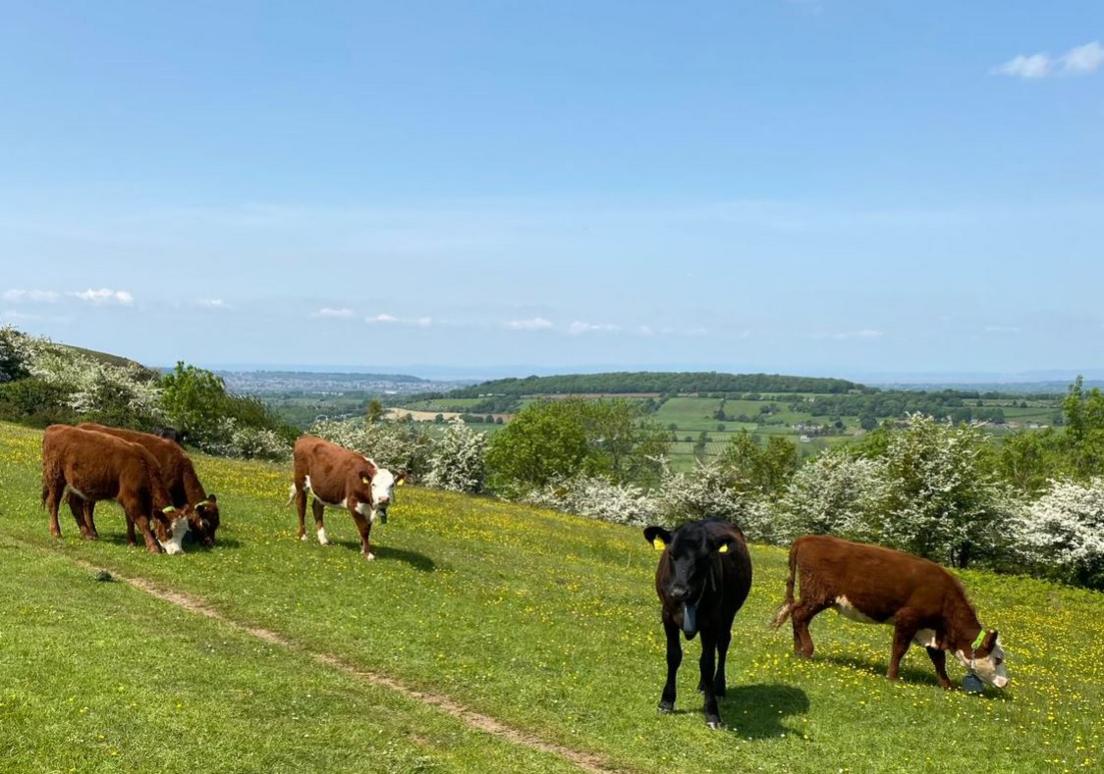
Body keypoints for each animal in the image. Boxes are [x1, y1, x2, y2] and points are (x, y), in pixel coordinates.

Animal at [41, 421, 194, 556]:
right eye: (169, 530)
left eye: (183, 533)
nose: (178, 552)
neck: (143, 466)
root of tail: (55, 428)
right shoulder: (130, 497)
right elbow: (142, 521)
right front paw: (153, 546)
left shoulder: (132, 499)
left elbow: (130, 520)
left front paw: (132, 541)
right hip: (55, 477)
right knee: (53, 503)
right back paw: (56, 532)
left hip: (77, 486)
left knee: (75, 505)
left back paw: (87, 533)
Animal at [77, 421, 219, 543]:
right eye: (206, 523)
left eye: (217, 524)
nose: (210, 542)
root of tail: (82, 426)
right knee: (87, 507)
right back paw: (93, 532)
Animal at [644, 516, 755, 728]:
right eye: (671, 553)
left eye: (704, 558)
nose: (679, 591)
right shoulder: (667, 615)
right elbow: (673, 656)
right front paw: (666, 701)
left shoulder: (712, 621)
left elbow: (708, 663)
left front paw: (712, 712)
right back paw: (704, 684)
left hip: (729, 614)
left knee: (722, 645)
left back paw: (717, 687)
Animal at [768, 536, 1011, 688]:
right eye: (998, 659)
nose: (1006, 682)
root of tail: (807, 538)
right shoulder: (908, 618)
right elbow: (899, 649)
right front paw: (893, 676)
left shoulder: (931, 630)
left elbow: (938, 660)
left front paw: (947, 685)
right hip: (818, 595)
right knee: (800, 616)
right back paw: (808, 651)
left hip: (811, 595)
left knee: (795, 613)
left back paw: (797, 650)